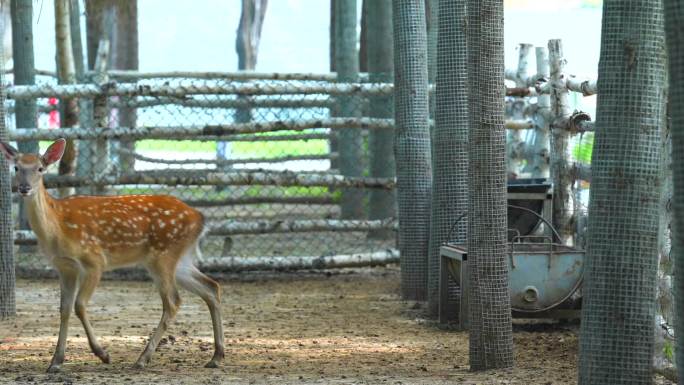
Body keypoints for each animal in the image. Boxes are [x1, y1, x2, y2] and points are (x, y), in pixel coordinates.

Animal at [0, 138, 224, 368]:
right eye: (16, 168)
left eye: (40, 168)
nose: (24, 188)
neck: (58, 228)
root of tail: (200, 218)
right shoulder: (64, 267)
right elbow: (64, 309)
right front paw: (56, 361)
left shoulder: (94, 260)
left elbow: (79, 305)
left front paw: (102, 354)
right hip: (178, 260)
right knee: (211, 287)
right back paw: (216, 356)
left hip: (163, 255)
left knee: (173, 301)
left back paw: (143, 358)